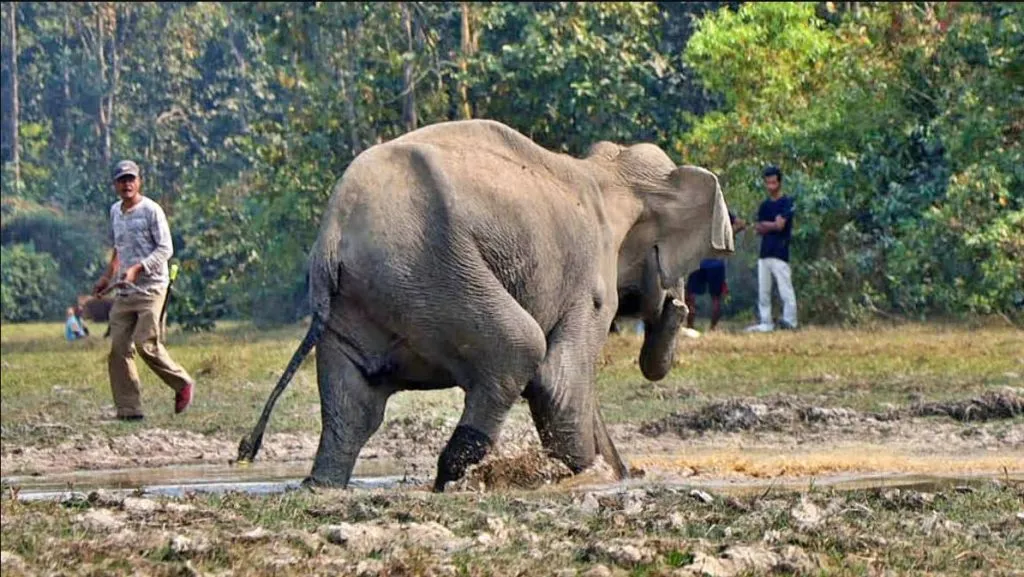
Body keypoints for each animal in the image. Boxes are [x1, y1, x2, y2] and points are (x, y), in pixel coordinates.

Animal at [236, 119, 734, 492]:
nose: (678, 306)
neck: (606, 171)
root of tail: (334, 232)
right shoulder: (589, 279)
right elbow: (559, 382)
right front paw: (592, 478)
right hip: (433, 272)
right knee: (518, 350)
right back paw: (449, 479)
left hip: (363, 297)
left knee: (355, 401)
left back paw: (322, 486)